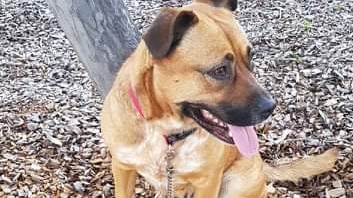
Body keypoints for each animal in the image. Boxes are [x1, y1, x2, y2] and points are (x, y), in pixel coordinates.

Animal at [100, 0, 336, 197]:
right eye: (220, 70)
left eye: (250, 58)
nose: (271, 107)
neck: (165, 132)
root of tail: (261, 165)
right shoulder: (122, 167)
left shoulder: (208, 181)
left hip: (236, 183)